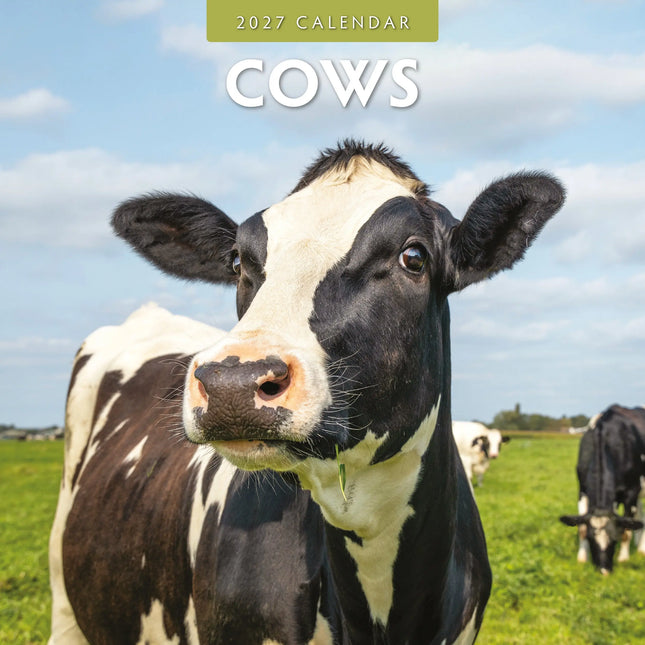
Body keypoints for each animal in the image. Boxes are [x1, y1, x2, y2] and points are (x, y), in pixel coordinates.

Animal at [560, 404, 645, 574]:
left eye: (614, 539)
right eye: (591, 539)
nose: (604, 571)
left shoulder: (631, 492)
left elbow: (626, 530)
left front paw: (623, 558)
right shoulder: (583, 490)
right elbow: (581, 527)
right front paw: (582, 558)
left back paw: (641, 549)